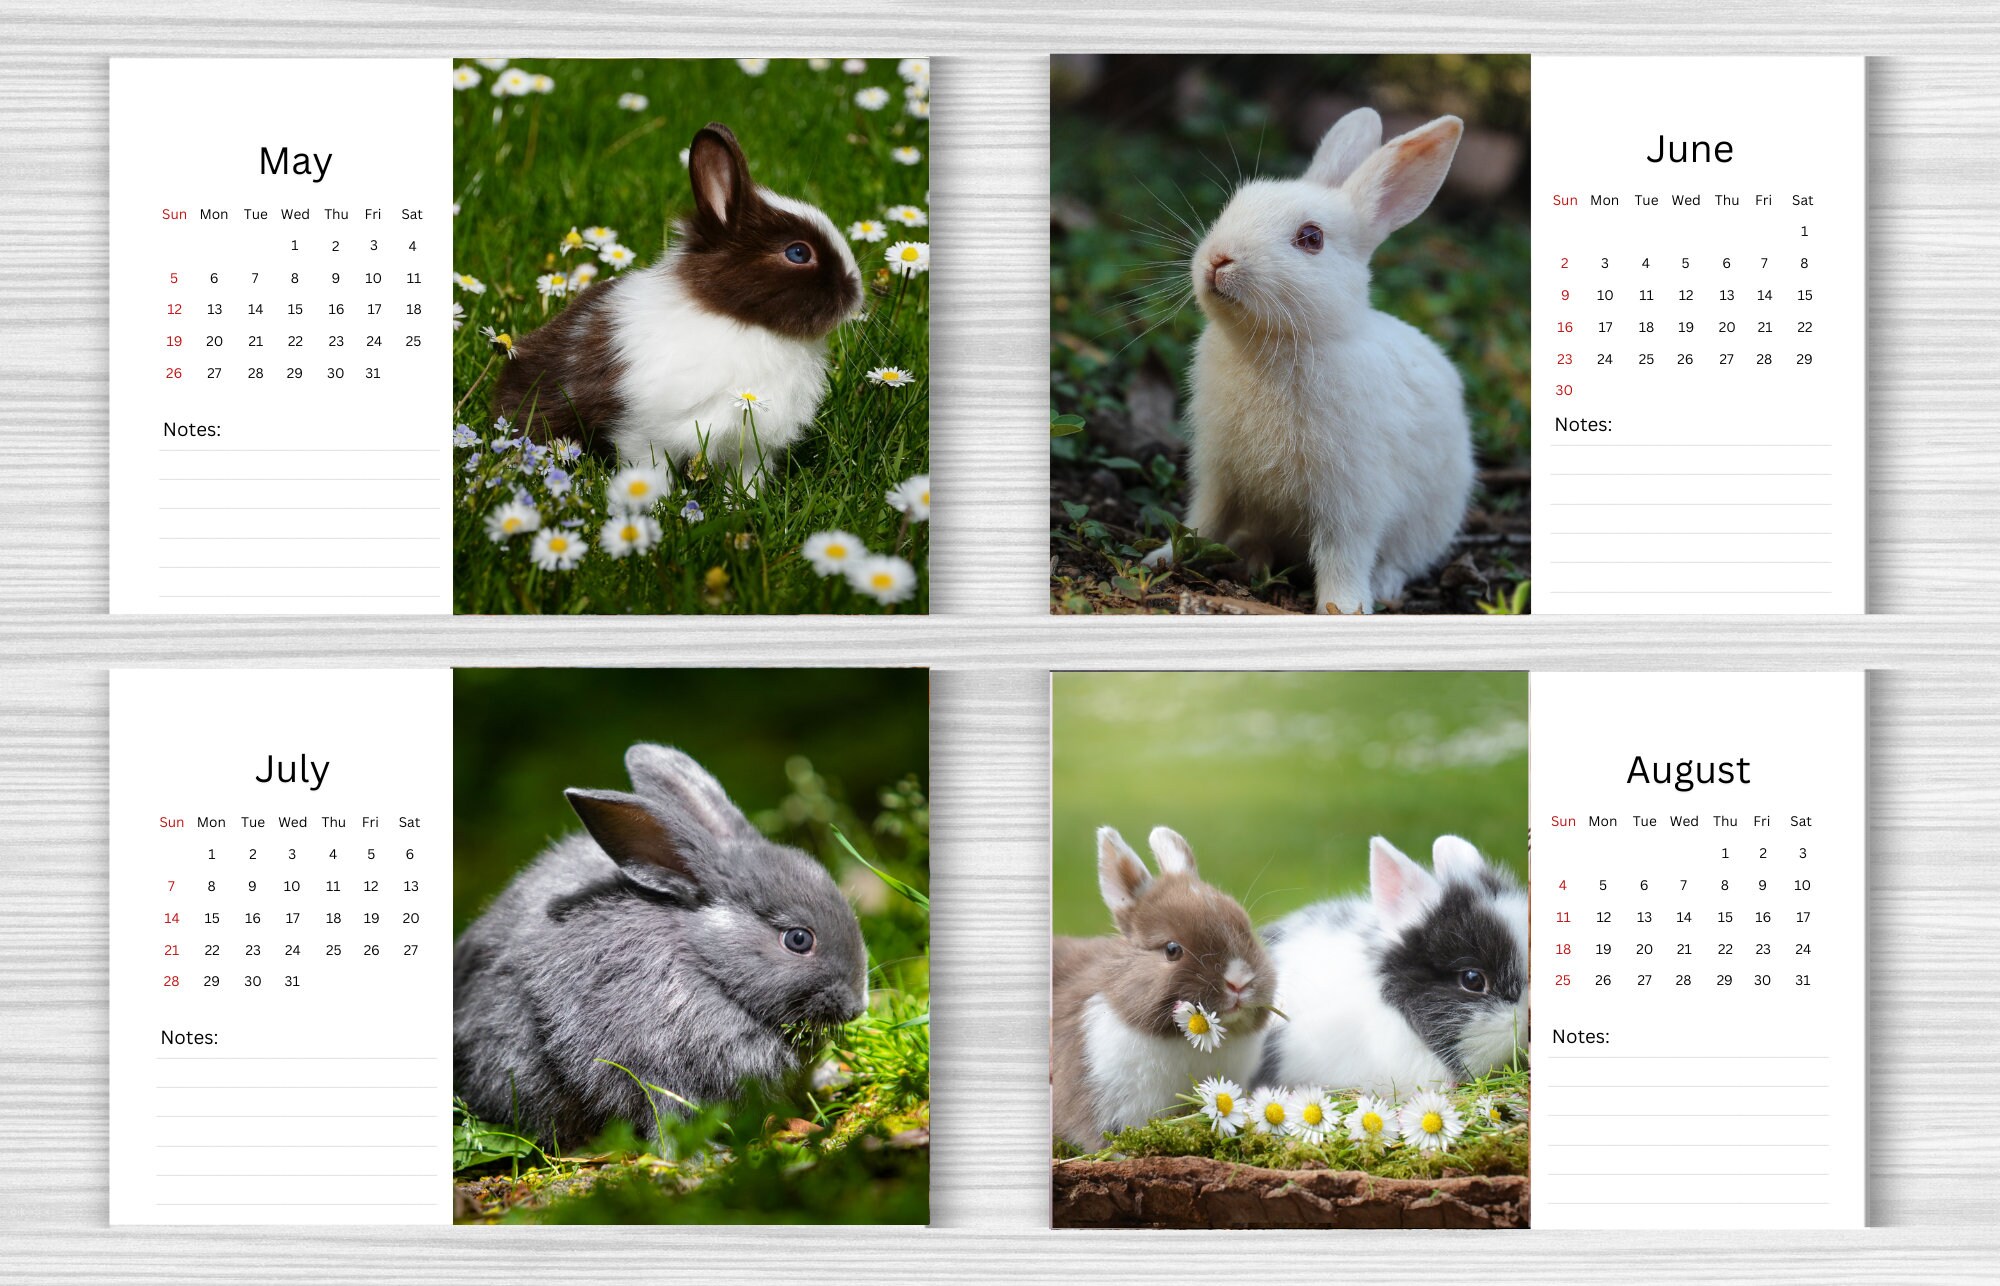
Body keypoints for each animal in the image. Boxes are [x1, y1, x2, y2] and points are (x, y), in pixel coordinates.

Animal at [495, 122, 863, 489]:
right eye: (798, 253)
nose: (856, 293)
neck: (739, 321)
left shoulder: (750, 445)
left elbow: (745, 478)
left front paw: (743, 501)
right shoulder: (643, 433)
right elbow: (649, 471)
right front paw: (652, 502)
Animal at [1144, 108, 1475, 614]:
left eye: (1311, 238)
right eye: (1235, 205)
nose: (1219, 259)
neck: (1275, 343)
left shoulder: (1351, 499)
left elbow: (1344, 556)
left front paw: (1345, 609)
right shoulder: (1218, 474)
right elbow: (1203, 521)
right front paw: (1162, 558)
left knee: (1400, 560)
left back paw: (1384, 587)